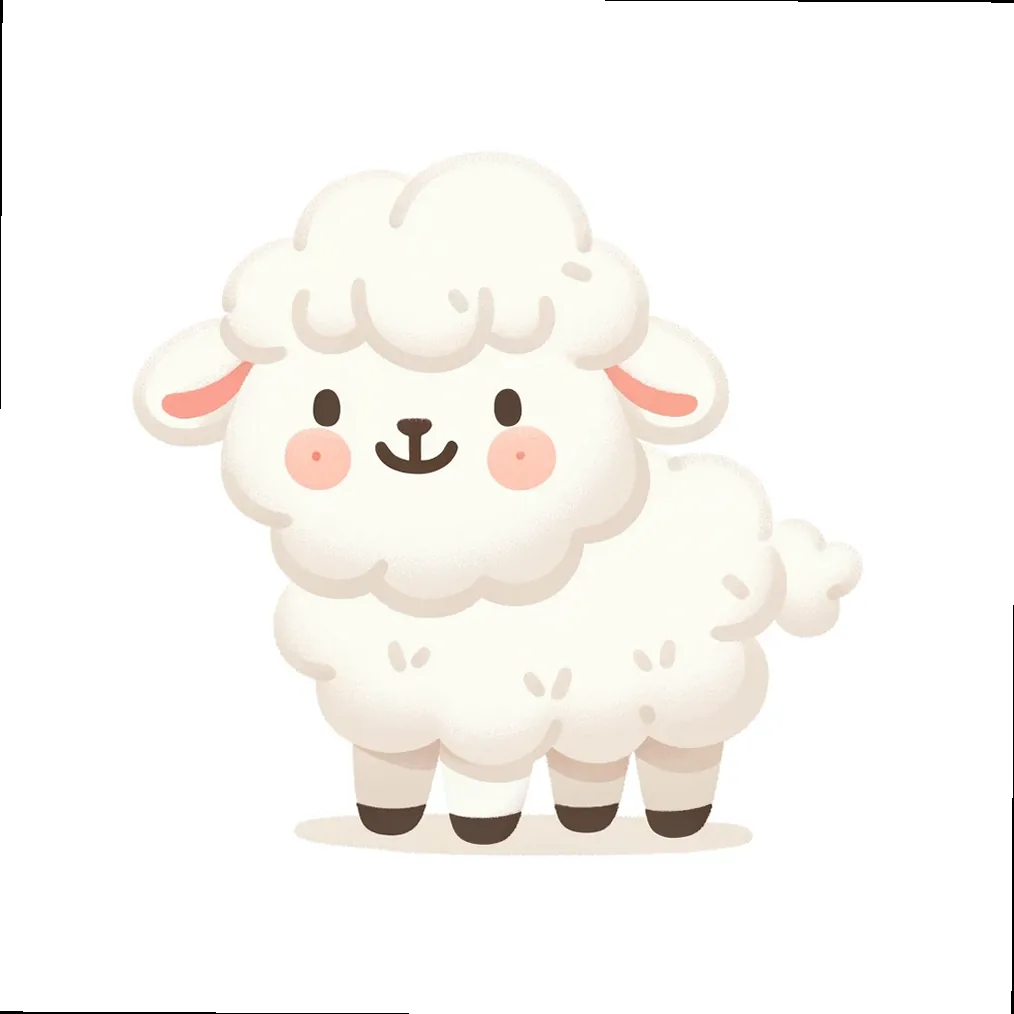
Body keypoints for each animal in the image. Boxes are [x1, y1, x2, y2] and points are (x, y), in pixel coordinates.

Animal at [134, 153, 862, 846]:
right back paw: (585, 820)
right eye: (324, 407)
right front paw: (386, 822)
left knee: (678, 759)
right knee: (592, 761)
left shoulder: (492, 706)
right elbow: (387, 775)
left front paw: (481, 833)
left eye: (509, 409)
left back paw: (676, 821)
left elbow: (486, 785)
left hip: (686, 697)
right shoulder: (390, 705)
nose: (414, 429)